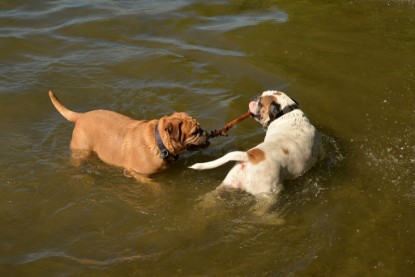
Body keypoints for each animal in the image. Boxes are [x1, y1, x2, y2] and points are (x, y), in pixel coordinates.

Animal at [48, 91, 210, 177]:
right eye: (195, 132)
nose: (206, 133)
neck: (159, 143)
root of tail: (80, 116)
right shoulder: (137, 174)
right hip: (81, 150)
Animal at [190, 90, 324, 196]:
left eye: (260, 102)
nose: (255, 97)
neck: (287, 113)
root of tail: (249, 157)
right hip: (267, 193)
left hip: (228, 183)